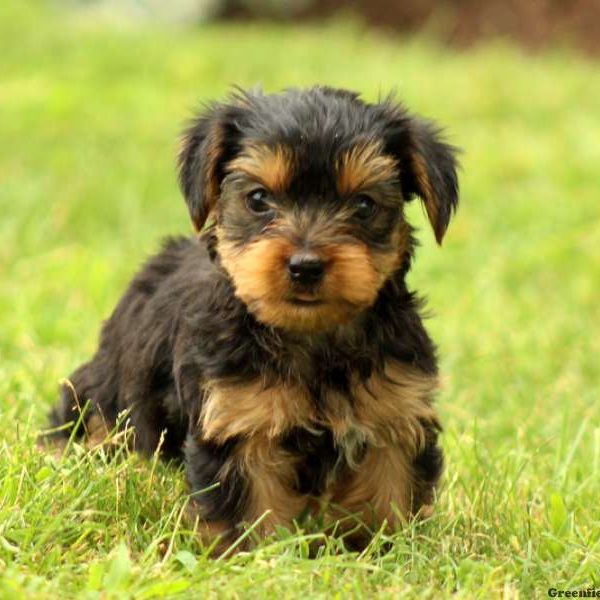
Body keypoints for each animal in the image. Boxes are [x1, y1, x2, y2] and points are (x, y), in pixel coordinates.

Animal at [47, 86, 460, 552]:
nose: (305, 265)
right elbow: (250, 502)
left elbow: (389, 488)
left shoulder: (396, 411)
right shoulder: (238, 418)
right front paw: (256, 555)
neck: (312, 337)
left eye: (364, 205)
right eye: (259, 199)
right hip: (112, 386)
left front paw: (383, 550)